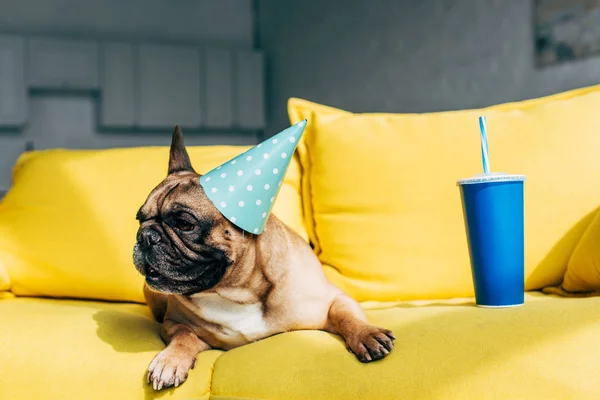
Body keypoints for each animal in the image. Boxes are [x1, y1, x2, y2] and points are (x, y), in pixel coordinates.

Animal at [132, 126, 394, 390]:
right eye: (139, 219)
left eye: (184, 224)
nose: (145, 236)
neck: (237, 291)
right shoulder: (174, 323)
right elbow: (184, 335)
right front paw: (170, 361)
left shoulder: (332, 300)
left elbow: (347, 315)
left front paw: (366, 334)